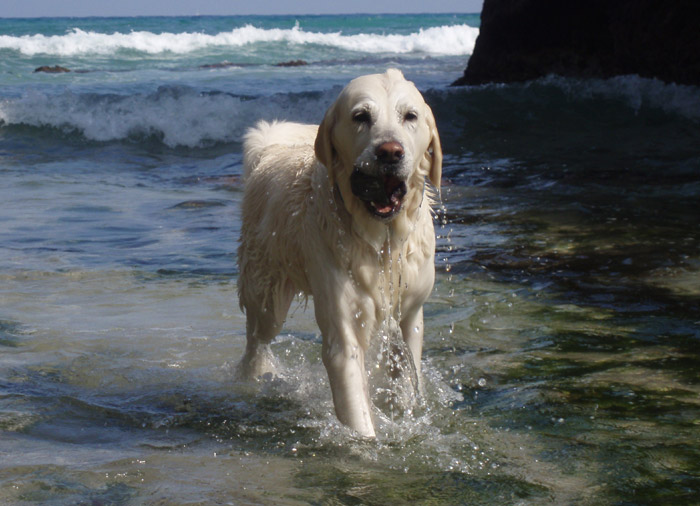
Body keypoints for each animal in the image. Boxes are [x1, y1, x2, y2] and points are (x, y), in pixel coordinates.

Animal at [238, 68, 440, 438]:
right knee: (257, 340)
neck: (380, 239)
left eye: (410, 116)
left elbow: (405, 371)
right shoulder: (343, 330)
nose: (390, 152)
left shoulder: (411, 314)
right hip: (266, 291)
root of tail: (272, 149)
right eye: (361, 116)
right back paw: (251, 377)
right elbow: (357, 412)